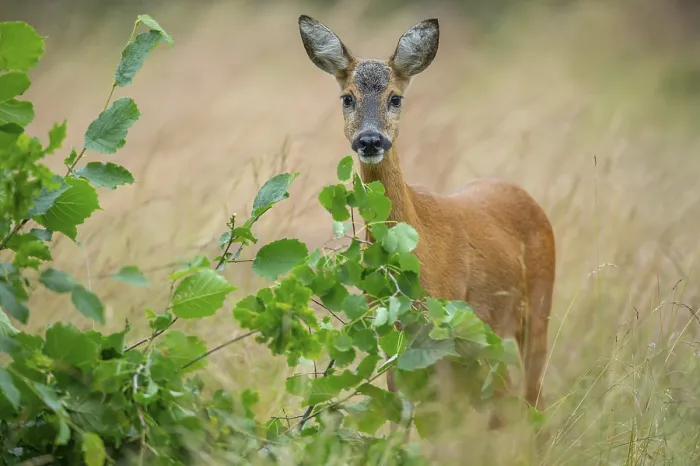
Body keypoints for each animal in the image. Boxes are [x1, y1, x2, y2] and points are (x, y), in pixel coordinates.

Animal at [298, 15, 556, 431]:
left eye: (395, 98)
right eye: (347, 97)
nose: (370, 140)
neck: (419, 251)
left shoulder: (443, 327)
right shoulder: (393, 335)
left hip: (536, 309)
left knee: (531, 399)